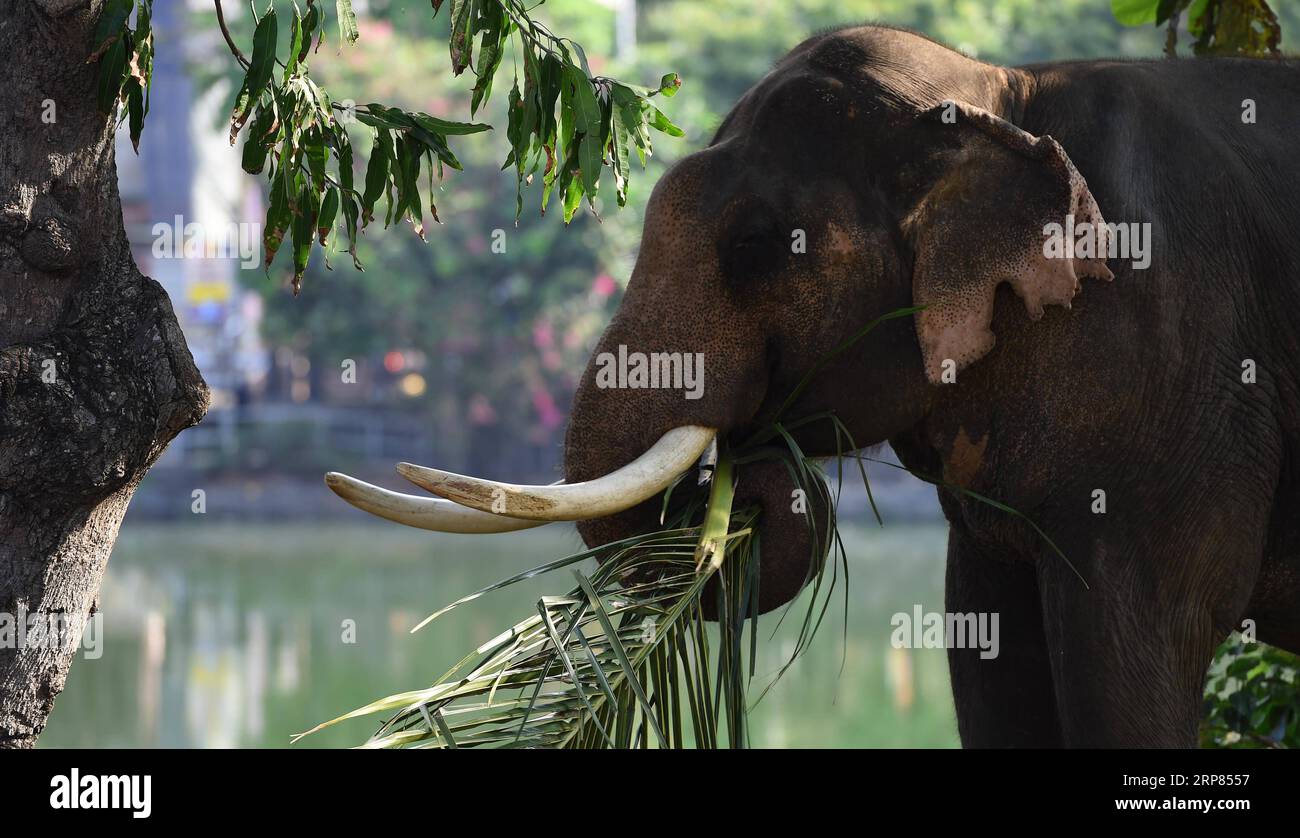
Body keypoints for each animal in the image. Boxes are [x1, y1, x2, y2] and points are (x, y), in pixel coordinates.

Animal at [330, 24, 1300, 743]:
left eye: (757, 246)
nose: (733, 490)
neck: (1002, 96)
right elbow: (988, 652)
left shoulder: (1180, 396)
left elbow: (1133, 655)